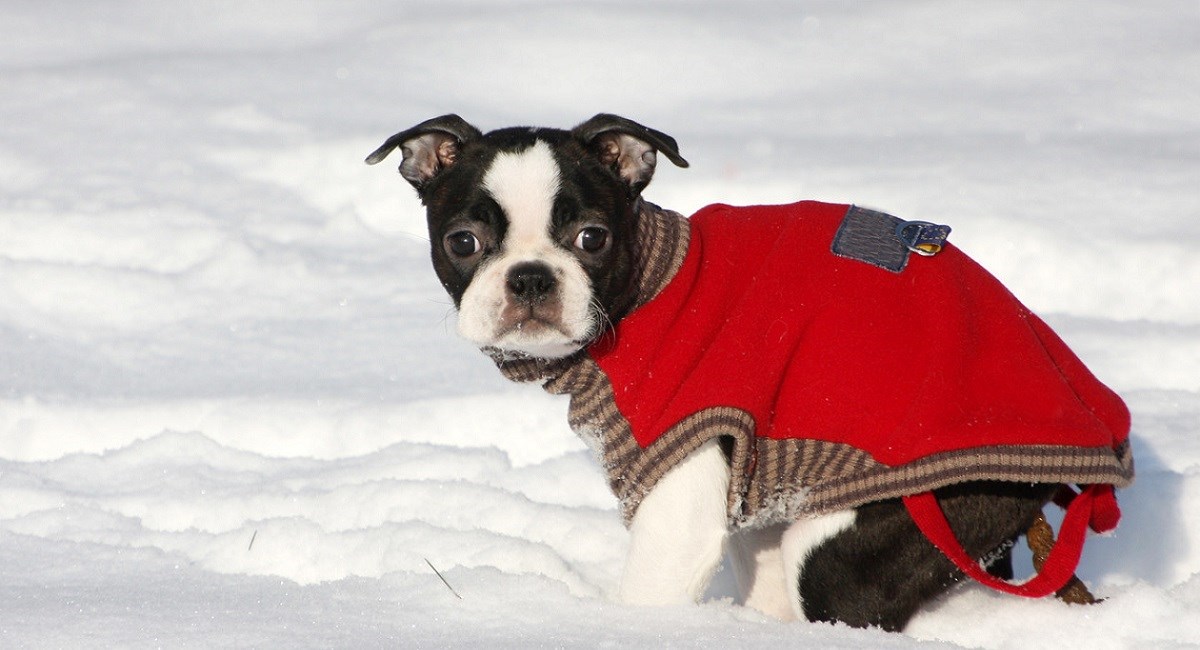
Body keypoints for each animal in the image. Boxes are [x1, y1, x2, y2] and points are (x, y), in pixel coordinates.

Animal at [367, 113, 1132, 633]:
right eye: (463, 242)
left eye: (593, 238)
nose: (529, 278)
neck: (645, 287)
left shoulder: (678, 485)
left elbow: (650, 591)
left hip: (881, 532)